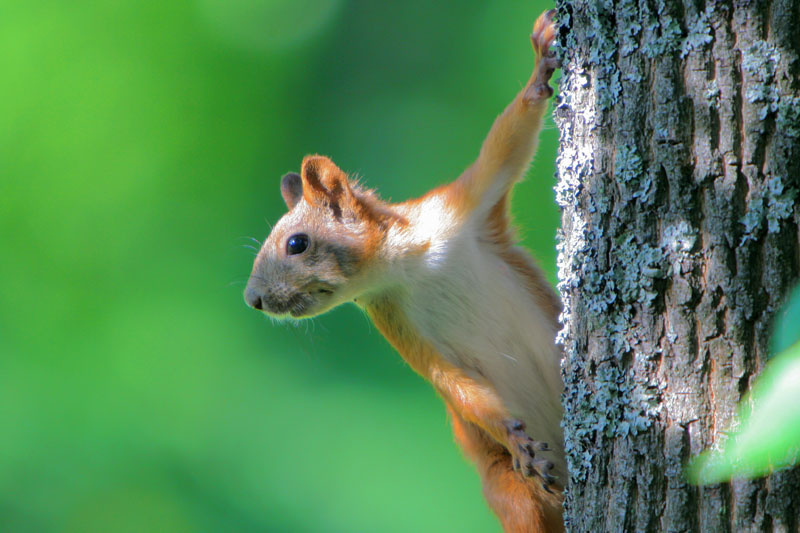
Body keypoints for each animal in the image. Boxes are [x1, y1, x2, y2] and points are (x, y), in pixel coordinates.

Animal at [245, 10, 563, 533]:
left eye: (296, 243)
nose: (252, 299)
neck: (409, 265)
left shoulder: (463, 207)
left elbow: (507, 144)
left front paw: (539, 69)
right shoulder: (398, 323)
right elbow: (453, 384)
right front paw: (513, 435)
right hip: (512, 494)